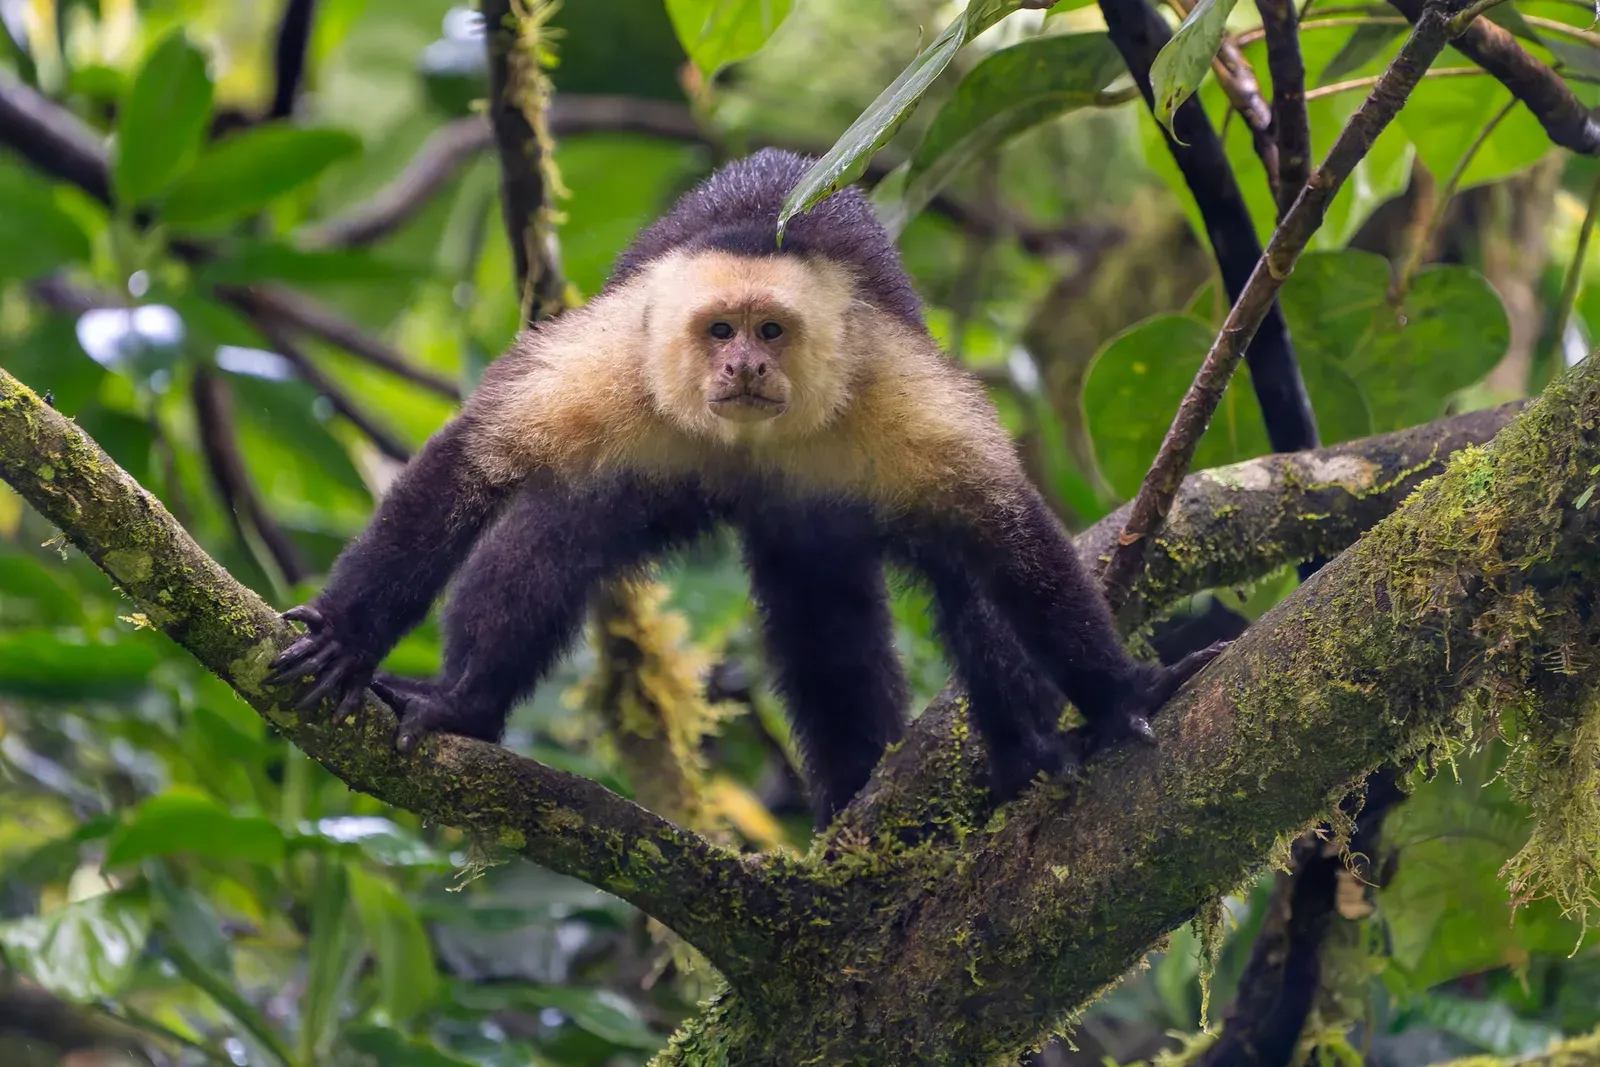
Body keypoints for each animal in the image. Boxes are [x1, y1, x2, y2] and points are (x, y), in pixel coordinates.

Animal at [264, 148, 1224, 826]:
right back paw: (461, 706)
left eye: (770, 330)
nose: (745, 366)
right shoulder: (611, 365)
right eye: (720, 329)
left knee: (920, 591)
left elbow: (1007, 535)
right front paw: (348, 637)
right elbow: (471, 463)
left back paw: (1010, 760)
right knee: (559, 532)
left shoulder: (893, 390)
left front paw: (1122, 697)